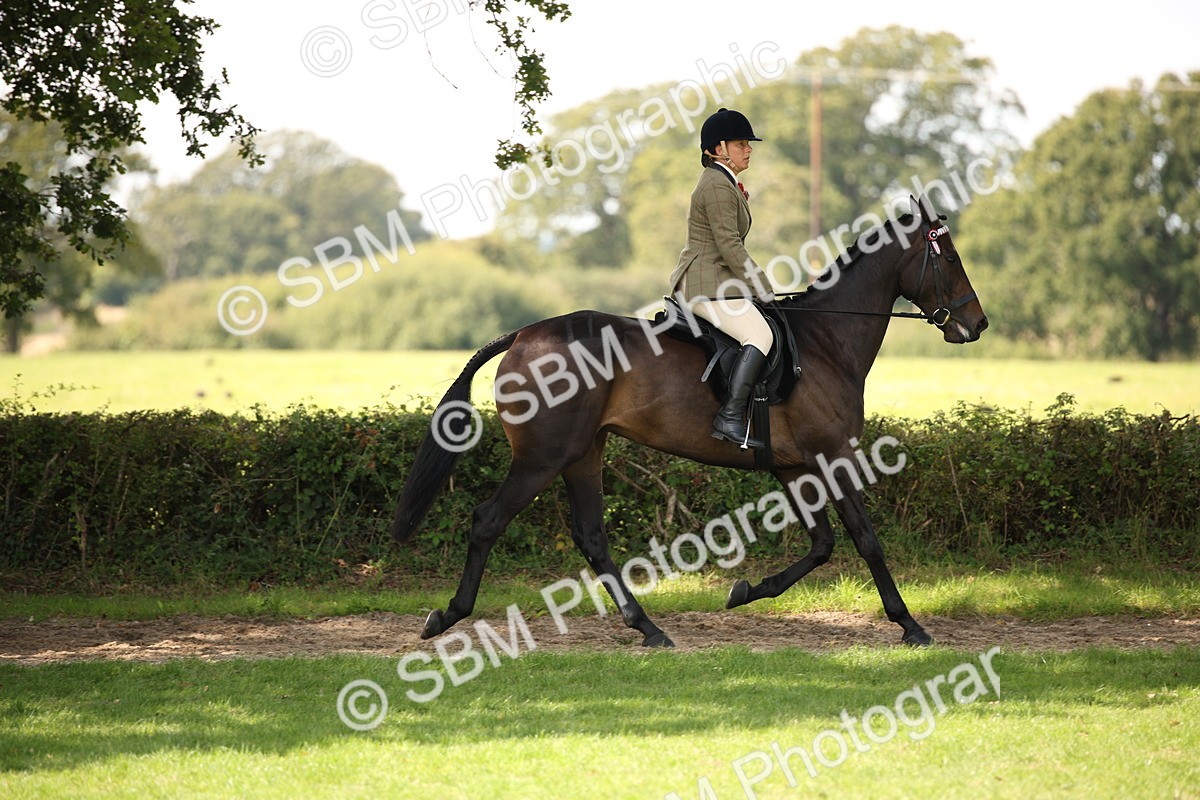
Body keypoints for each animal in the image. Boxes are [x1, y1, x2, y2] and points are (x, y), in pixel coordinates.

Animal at [392, 195, 988, 648]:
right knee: (489, 520)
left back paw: (649, 628)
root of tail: (522, 334)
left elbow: (822, 544)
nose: (977, 325)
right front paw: (910, 624)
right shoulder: (832, 456)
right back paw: (447, 615)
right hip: (543, 457)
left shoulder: (795, 466)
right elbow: (866, 539)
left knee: (591, 536)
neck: (826, 341)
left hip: (584, 453)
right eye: (949, 258)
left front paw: (746, 591)